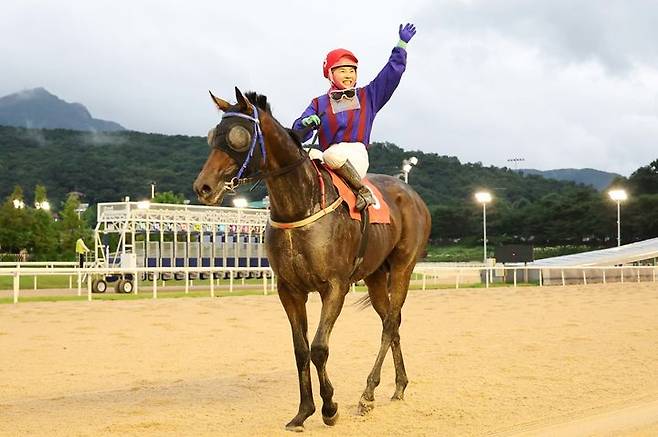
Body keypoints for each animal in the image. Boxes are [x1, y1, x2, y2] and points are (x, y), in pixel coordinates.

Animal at [192, 87, 434, 430]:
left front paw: (329, 407)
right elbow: (300, 349)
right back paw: (398, 386)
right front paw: (303, 411)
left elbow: (319, 348)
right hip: (375, 275)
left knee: (389, 324)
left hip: (403, 267)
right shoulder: (289, 290)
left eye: (238, 137)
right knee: (393, 320)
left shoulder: (334, 287)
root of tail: (410, 194)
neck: (299, 206)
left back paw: (367, 394)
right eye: (214, 135)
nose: (204, 187)